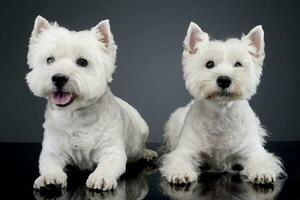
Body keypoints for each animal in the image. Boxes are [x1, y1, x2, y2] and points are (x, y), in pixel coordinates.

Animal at [25, 15, 157, 191]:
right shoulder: (52, 151)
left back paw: (147, 153)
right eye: (50, 60)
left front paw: (101, 177)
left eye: (82, 62)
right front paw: (49, 178)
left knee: (141, 147)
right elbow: (49, 164)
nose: (58, 78)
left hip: (142, 128)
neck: (76, 117)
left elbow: (108, 165)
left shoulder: (112, 151)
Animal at [159, 22, 284, 185]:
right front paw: (181, 172)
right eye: (209, 64)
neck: (221, 115)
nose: (224, 80)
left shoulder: (253, 150)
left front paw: (262, 172)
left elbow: (261, 159)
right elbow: (178, 159)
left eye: (238, 64)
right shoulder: (186, 150)